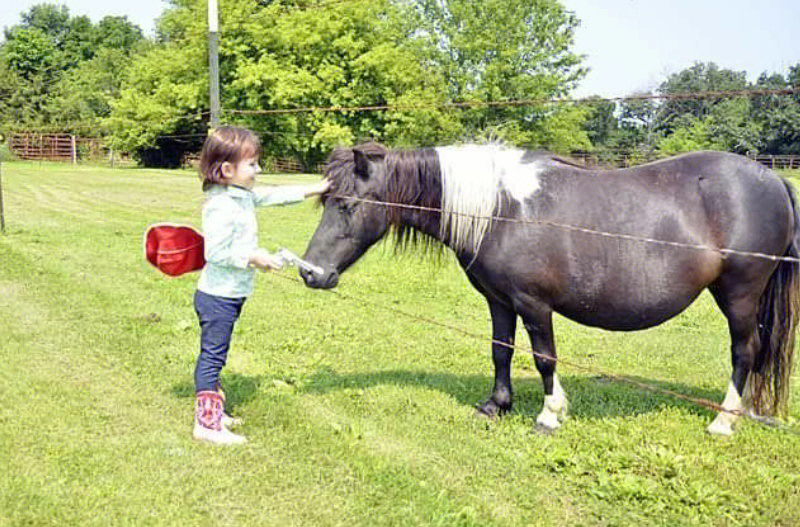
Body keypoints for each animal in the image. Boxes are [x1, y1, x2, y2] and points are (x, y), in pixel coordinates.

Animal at [298, 142, 792, 436]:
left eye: (347, 204)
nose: (309, 273)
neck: (500, 210)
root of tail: (774, 180)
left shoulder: (534, 304)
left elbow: (544, 358)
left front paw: (549, 415)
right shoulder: (499, 300)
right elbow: (501, 350)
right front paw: (496, 405)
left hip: (740, 295)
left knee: (744, 353)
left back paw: (724, 420)